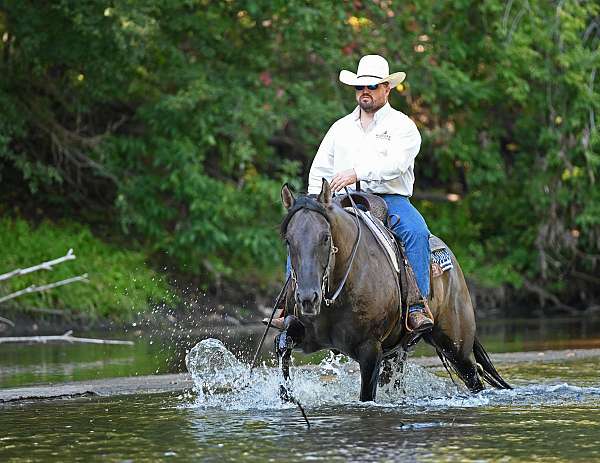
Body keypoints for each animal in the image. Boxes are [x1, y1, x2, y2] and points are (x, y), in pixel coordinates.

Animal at [278, 179, 510, 404]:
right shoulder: (306, 337)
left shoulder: (370, 350)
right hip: (397, 352)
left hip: (456, 346)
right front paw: (286, 396)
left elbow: (366, 395)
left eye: (326, 237)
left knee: (473, 378)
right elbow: (282, 345)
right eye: (288, 240)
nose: (308, 298)